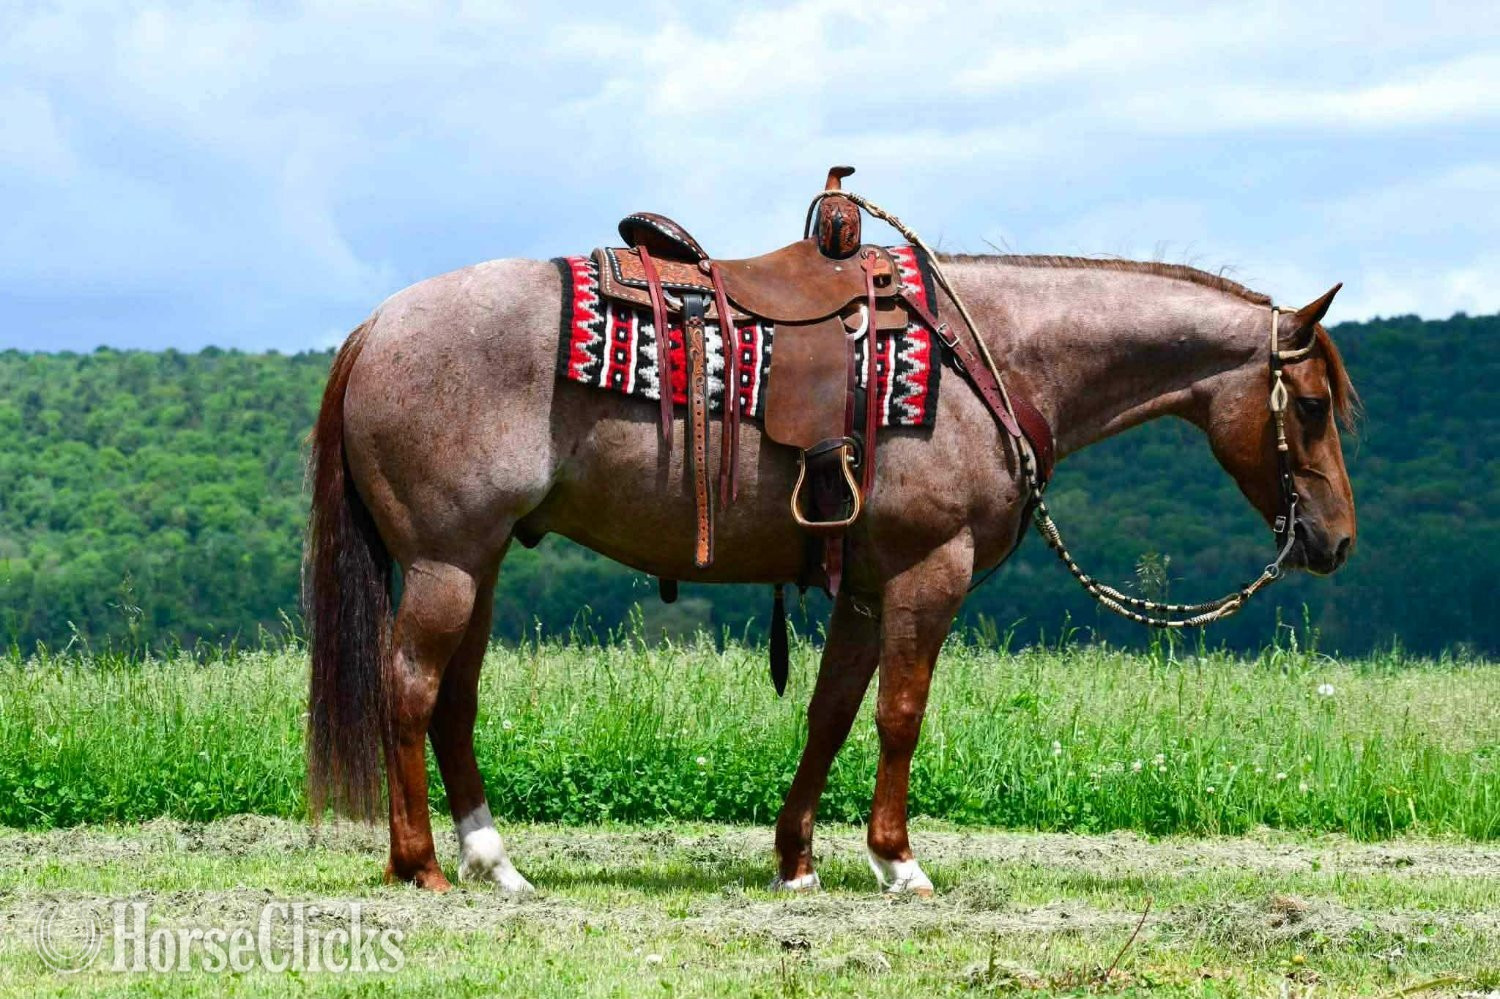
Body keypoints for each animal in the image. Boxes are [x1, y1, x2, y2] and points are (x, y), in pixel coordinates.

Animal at [305, 249, 1358, 895]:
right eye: (1309, 405)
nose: (1336, 540)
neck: (991, 357)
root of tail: (376, 327)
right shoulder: (930, 571)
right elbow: (900, 714)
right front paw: (898, 861)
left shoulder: (864, 585)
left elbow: (832, 712)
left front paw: (797, 859)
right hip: (444, 564)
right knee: (408, 691)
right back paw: (420, 863)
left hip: (476, 567)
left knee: (453, 703)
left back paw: (494, 860)